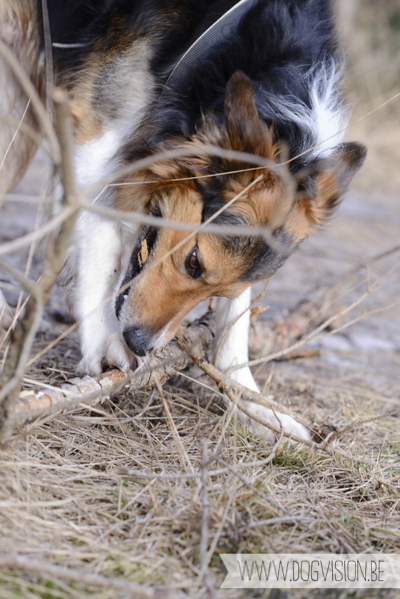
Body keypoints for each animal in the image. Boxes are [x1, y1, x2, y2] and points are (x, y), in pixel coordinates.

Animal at [0, 0, 366, 440]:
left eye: (218, 290)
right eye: (194, 261)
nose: (141, 345)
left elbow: (235, 326)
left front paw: (254, 404)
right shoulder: (96, 150)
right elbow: (102, 251)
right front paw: (103, 342)